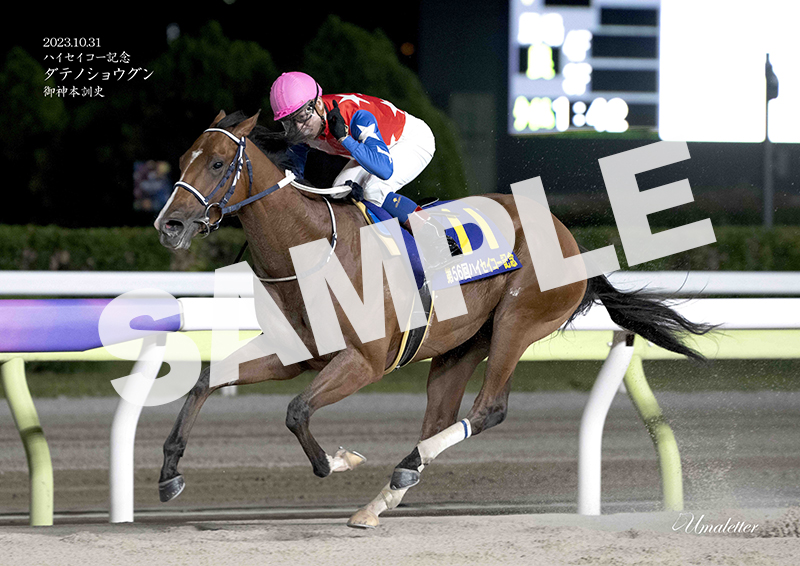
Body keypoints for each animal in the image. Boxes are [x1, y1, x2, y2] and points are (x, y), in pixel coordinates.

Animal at [154, 110, 713, 528]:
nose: (170, 225)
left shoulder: (364, 362)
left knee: (488, 409)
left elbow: (296, 411)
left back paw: (402, 472)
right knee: (440, 420)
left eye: (219, 162)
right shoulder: (295, 354)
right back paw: (384, 496)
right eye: (182, 159)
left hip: (516, 323)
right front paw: (169, 472)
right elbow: (205, 381)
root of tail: (572, 242)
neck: (312, 247)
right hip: (460, 345)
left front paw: (337, 460)